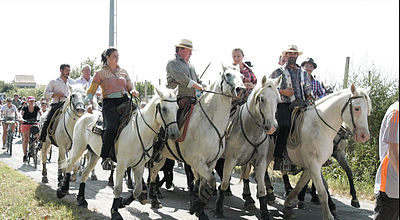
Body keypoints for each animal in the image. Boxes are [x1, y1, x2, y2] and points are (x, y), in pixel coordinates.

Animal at [148, 66, 245, 219]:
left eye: (242, 76)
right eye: (227, 74)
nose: (242, 90)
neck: (209, 123)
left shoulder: (211, 162)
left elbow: (204, 186)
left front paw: (200, 210)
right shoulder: (196, 161)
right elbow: (211, 183)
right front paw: (195, 207)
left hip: (162, 157)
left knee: (153, 172)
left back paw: (154, 199)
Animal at [216, 75, 282, 220]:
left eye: (278, 99)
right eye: (262, 99)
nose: (272, 127)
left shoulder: (260, 161)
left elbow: (261, 187)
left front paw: (264, 212)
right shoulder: (230, 160)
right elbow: (224, 181)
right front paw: (218, 209)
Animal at [282, 84, 372, 220]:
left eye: (369, 110)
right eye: (357, 108)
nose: (364, 136)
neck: (319, 125)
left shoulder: (333, 156)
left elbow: (348, 172)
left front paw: (354, 199)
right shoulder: (314, 163)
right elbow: (323, 187)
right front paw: (331, 208)